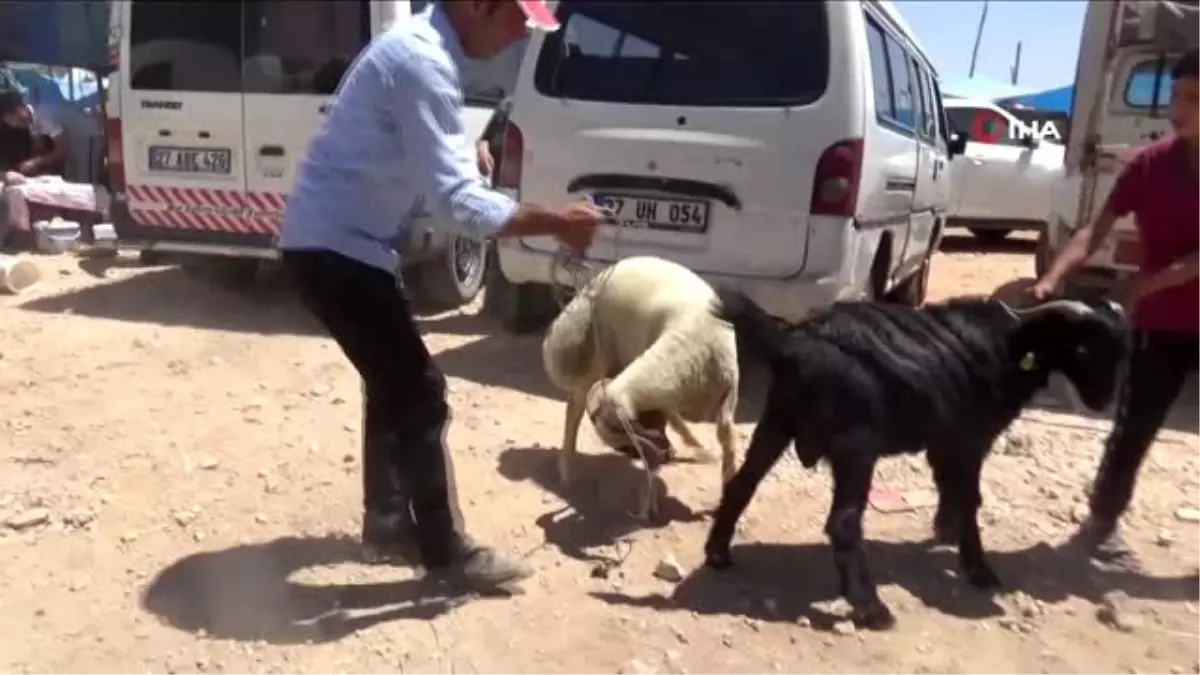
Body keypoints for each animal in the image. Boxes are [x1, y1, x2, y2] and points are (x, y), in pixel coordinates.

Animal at [540, 254, 734, 516]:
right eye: (622, 439)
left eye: (622, 432)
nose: (633, 453)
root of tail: (594, 281)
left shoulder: (725, 408)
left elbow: (727, 449)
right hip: (601, 352)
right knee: (574, 407)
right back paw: (567, 469)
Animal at [700, 291, 1123, 629]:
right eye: (1083, 349)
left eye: (1118, 351)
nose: (1104, 400)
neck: (1010, 344)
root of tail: (790, 344)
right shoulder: (969, 441)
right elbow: (970, 500)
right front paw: (979, 569)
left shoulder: (944, 443)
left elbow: (949, 490)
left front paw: (945, 534)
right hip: (856, 447)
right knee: (843, 523)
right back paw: (871, 609)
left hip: (777, 420)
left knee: (742, 482)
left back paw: (718, 553)